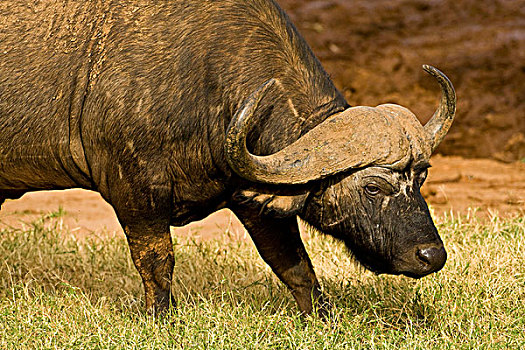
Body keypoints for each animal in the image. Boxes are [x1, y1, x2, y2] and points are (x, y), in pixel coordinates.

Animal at [0, 0, 452, 316]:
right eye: (372, 186)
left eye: (422, 177)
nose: (431, 256)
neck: (202, 82)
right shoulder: (134, 190)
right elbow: (157, 262)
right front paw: (160, 320)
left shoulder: (254, 198)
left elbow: (294, 265)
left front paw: (321, 318)